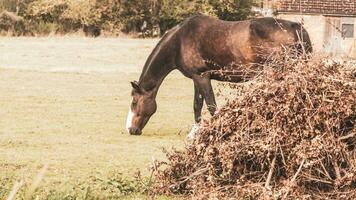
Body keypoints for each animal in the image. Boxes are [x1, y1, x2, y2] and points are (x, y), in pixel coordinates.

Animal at [125, 14, 312, 136]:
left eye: (134, 102)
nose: (131, 130)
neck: (179, 41)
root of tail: (295, 27)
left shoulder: (202, 77)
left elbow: (211, 106)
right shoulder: (197, 78)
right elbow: (197, 105)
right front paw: (195, 132)